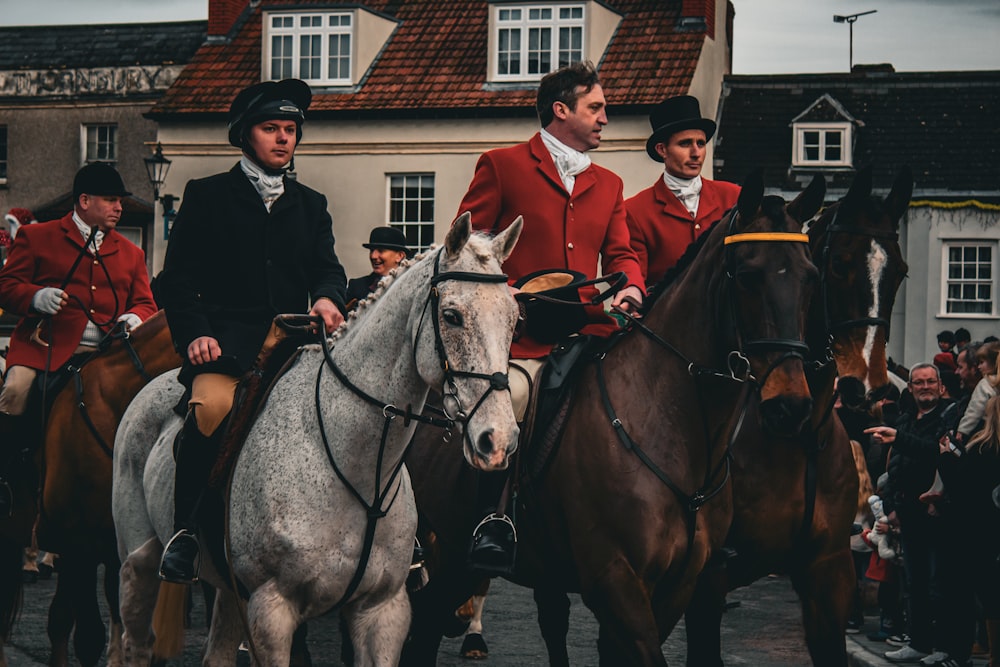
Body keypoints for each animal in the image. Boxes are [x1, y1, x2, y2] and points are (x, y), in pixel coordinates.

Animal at [113, 215, 524, 667]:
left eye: (514, 319)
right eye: (451, 316)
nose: (498, 440)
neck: (357, 471)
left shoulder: (382, 611)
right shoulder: (272, 611)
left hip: (230, 591)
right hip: (139, 560)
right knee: (135, 638)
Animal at [402, 174, 824, 667]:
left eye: (811, 278)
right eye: (748, 275)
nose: (791, 404)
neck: (669, 426)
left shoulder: (677, 585)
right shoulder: (615, 581)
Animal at [680, 163, 916, 667]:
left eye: (900, 272)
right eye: (839, 265)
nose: (869, 386)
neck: (798, 434)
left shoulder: (829, 574)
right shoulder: (705, 581)